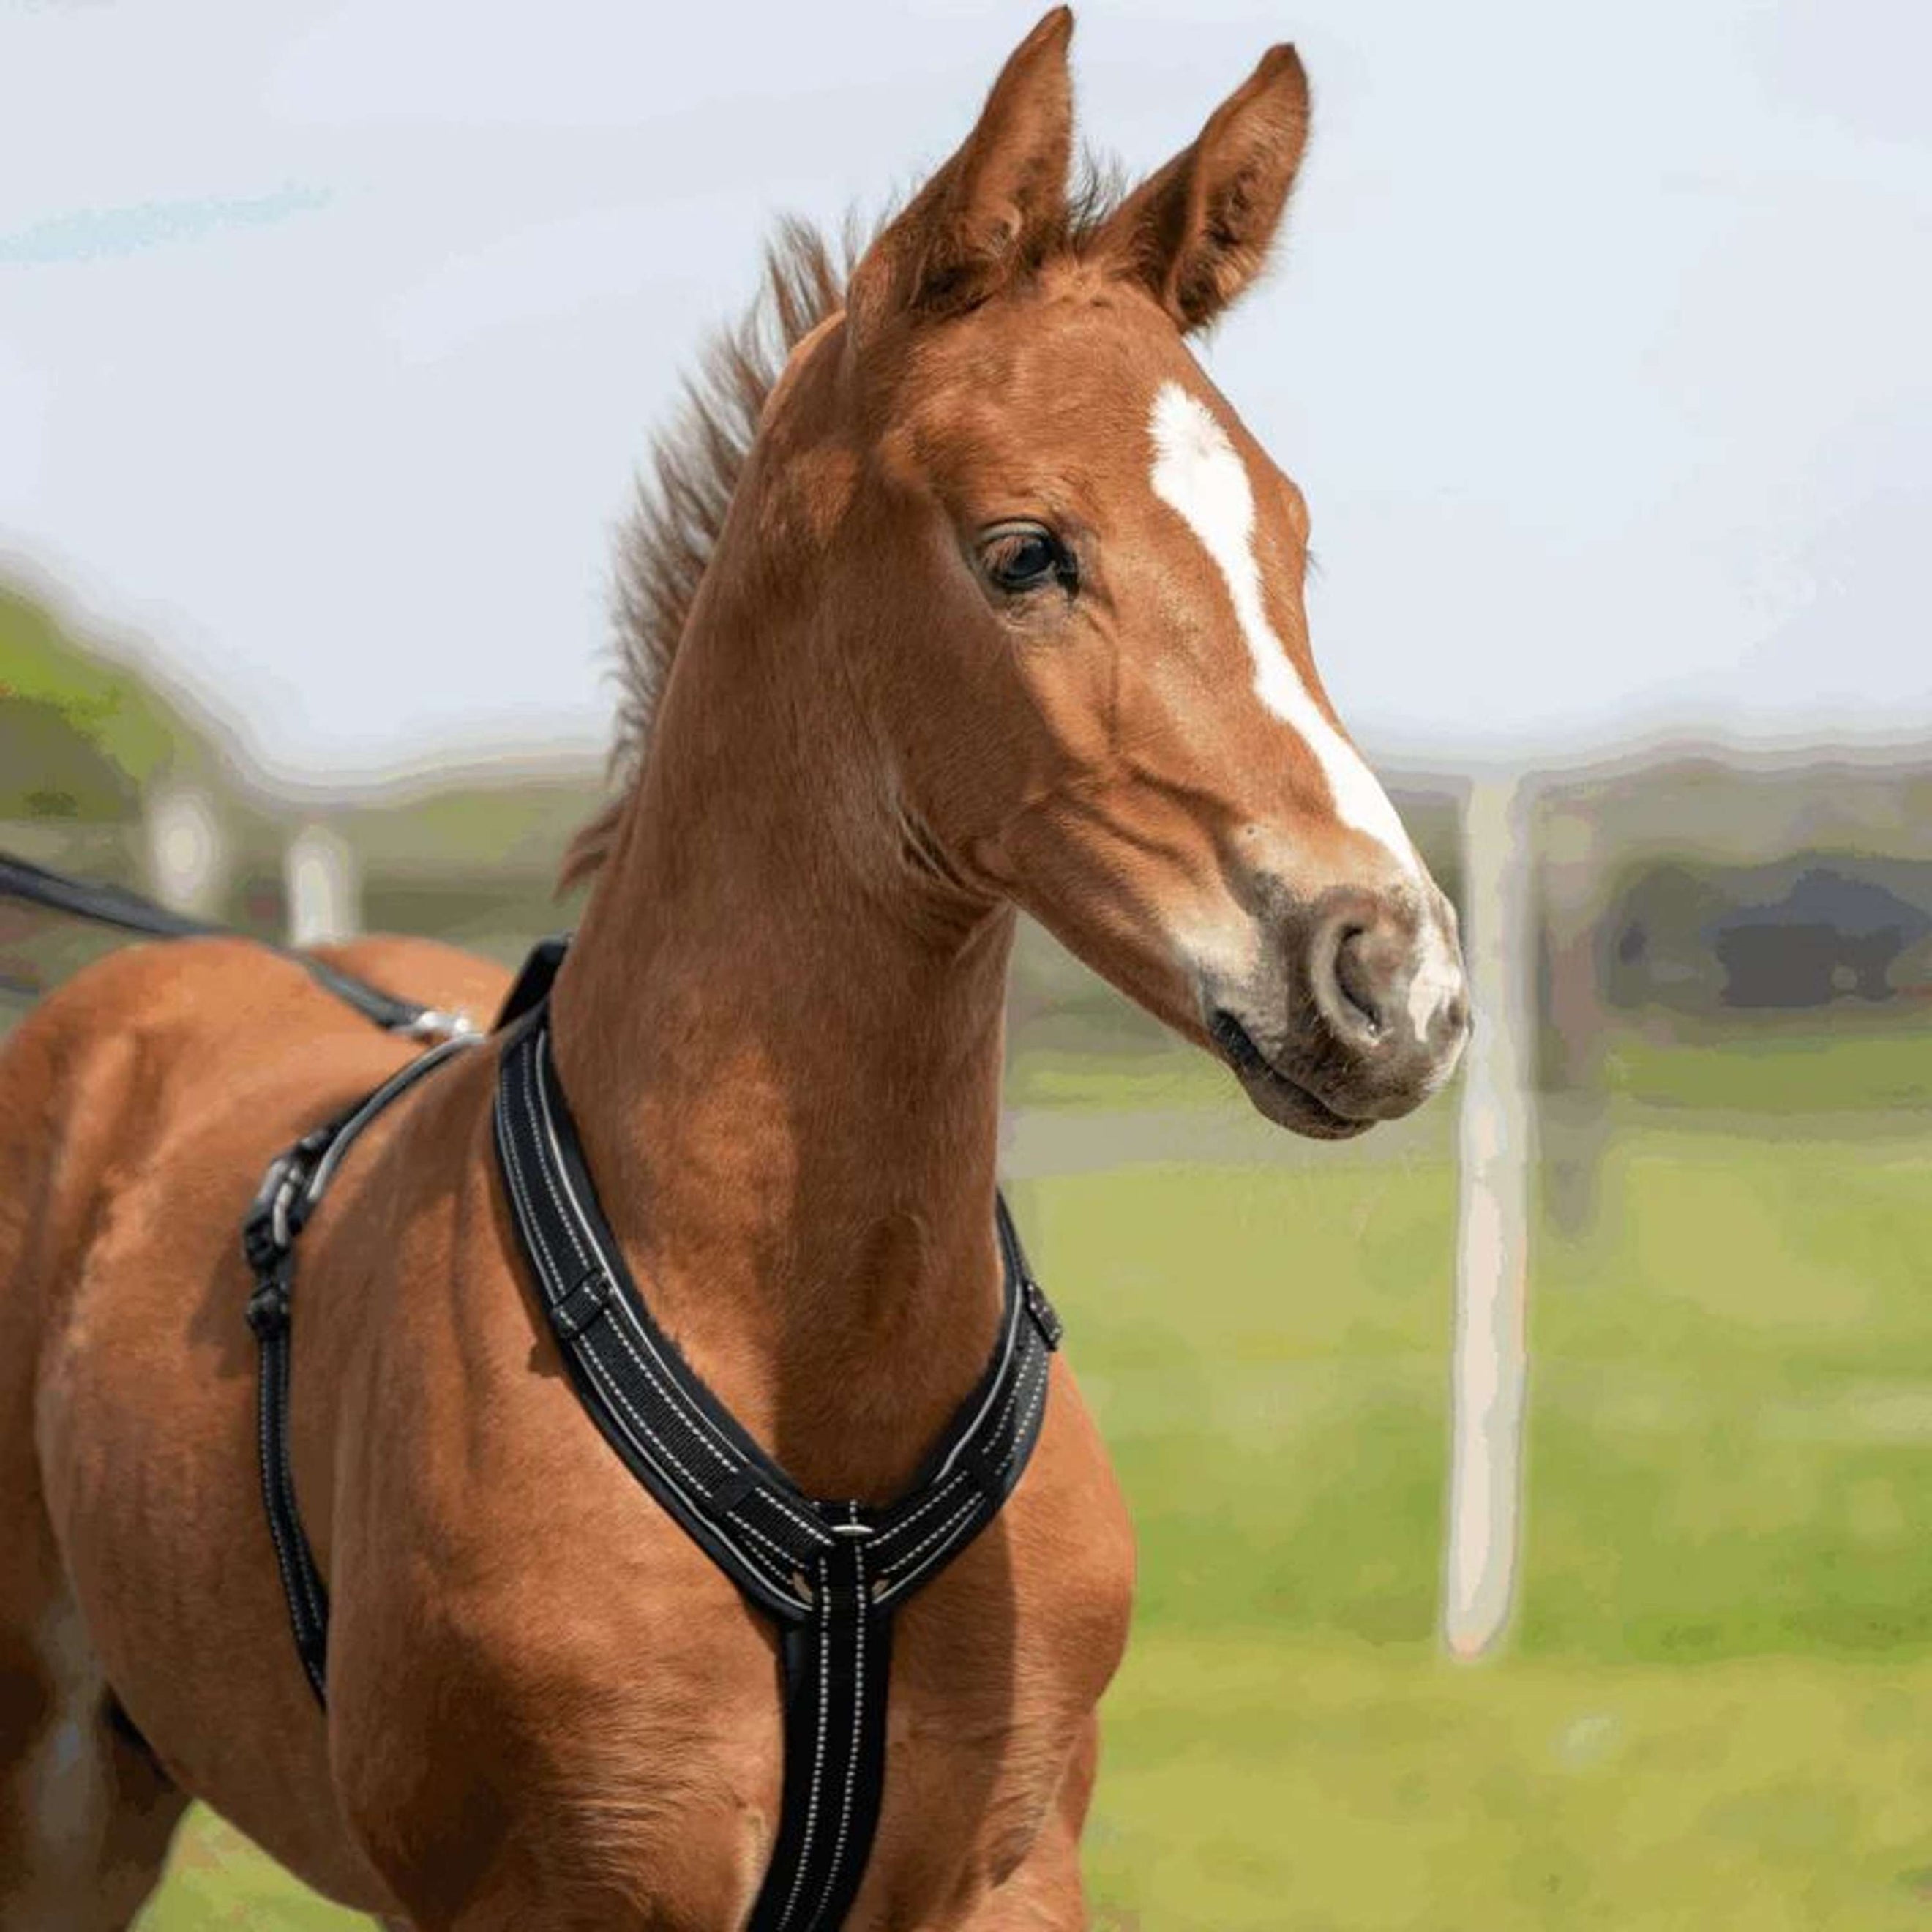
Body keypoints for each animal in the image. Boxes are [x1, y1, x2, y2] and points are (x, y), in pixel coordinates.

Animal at [0, 12, 1468, 1927]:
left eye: (1287, 542)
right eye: (1024, 550)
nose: (1394, 977)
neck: (814, 1391)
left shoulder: (1011, 1870)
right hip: (52, 1787)